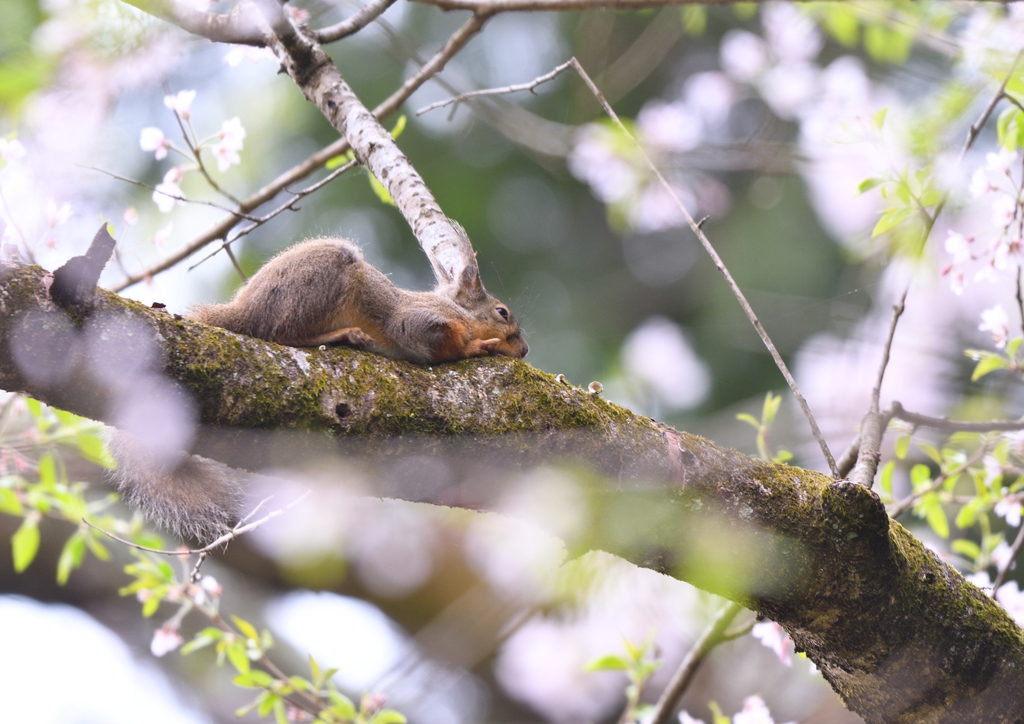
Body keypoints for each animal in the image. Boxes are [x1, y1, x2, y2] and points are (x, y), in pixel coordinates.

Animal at [111, 237, 528, 544]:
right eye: (502, 312)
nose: (524, 350)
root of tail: (243, 312)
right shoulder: (416, 321)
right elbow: (435, 341)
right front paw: (477, 346)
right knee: (283, 334)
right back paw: (344, 334)